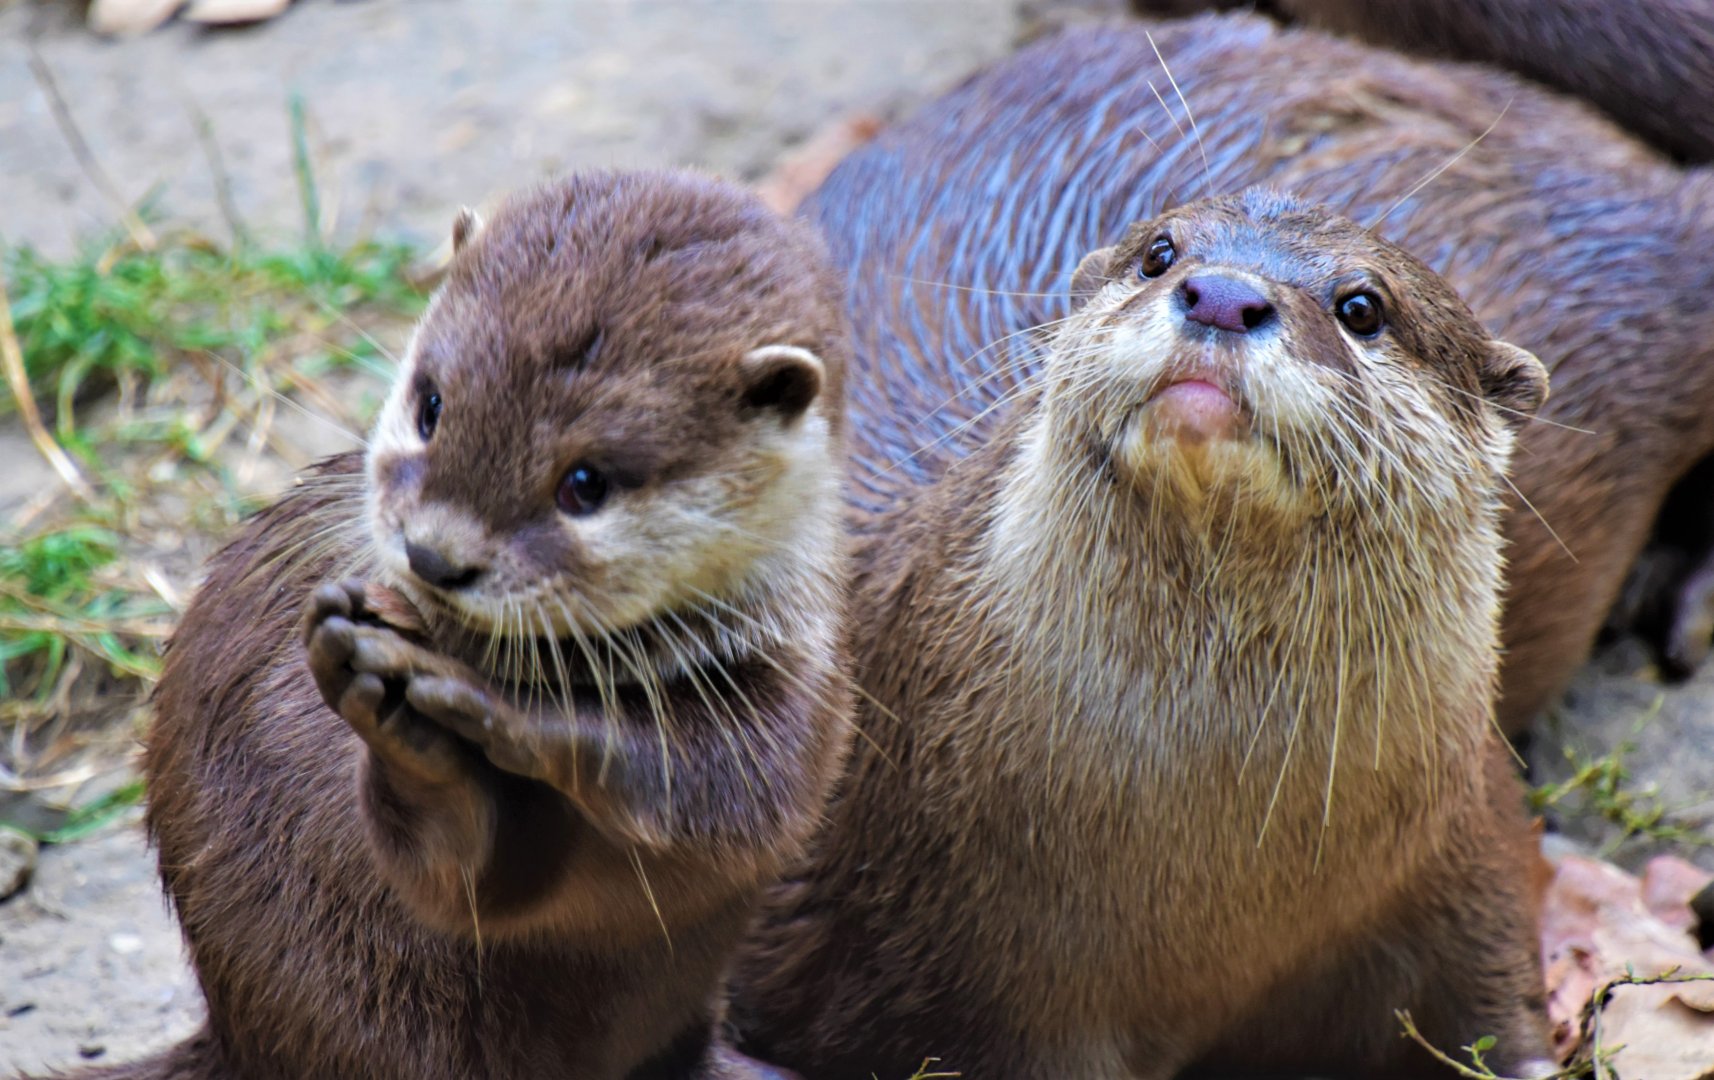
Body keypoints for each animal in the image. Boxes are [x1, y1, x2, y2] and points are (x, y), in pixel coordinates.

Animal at [64, 171, 853, 1079]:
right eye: (431, 404)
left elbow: (717, 797)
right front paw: (411, 738)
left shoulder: (800, 707)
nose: (433, 554)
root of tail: (234, 1031)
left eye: (587, 483)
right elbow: (455, 879)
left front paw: (495, 706)